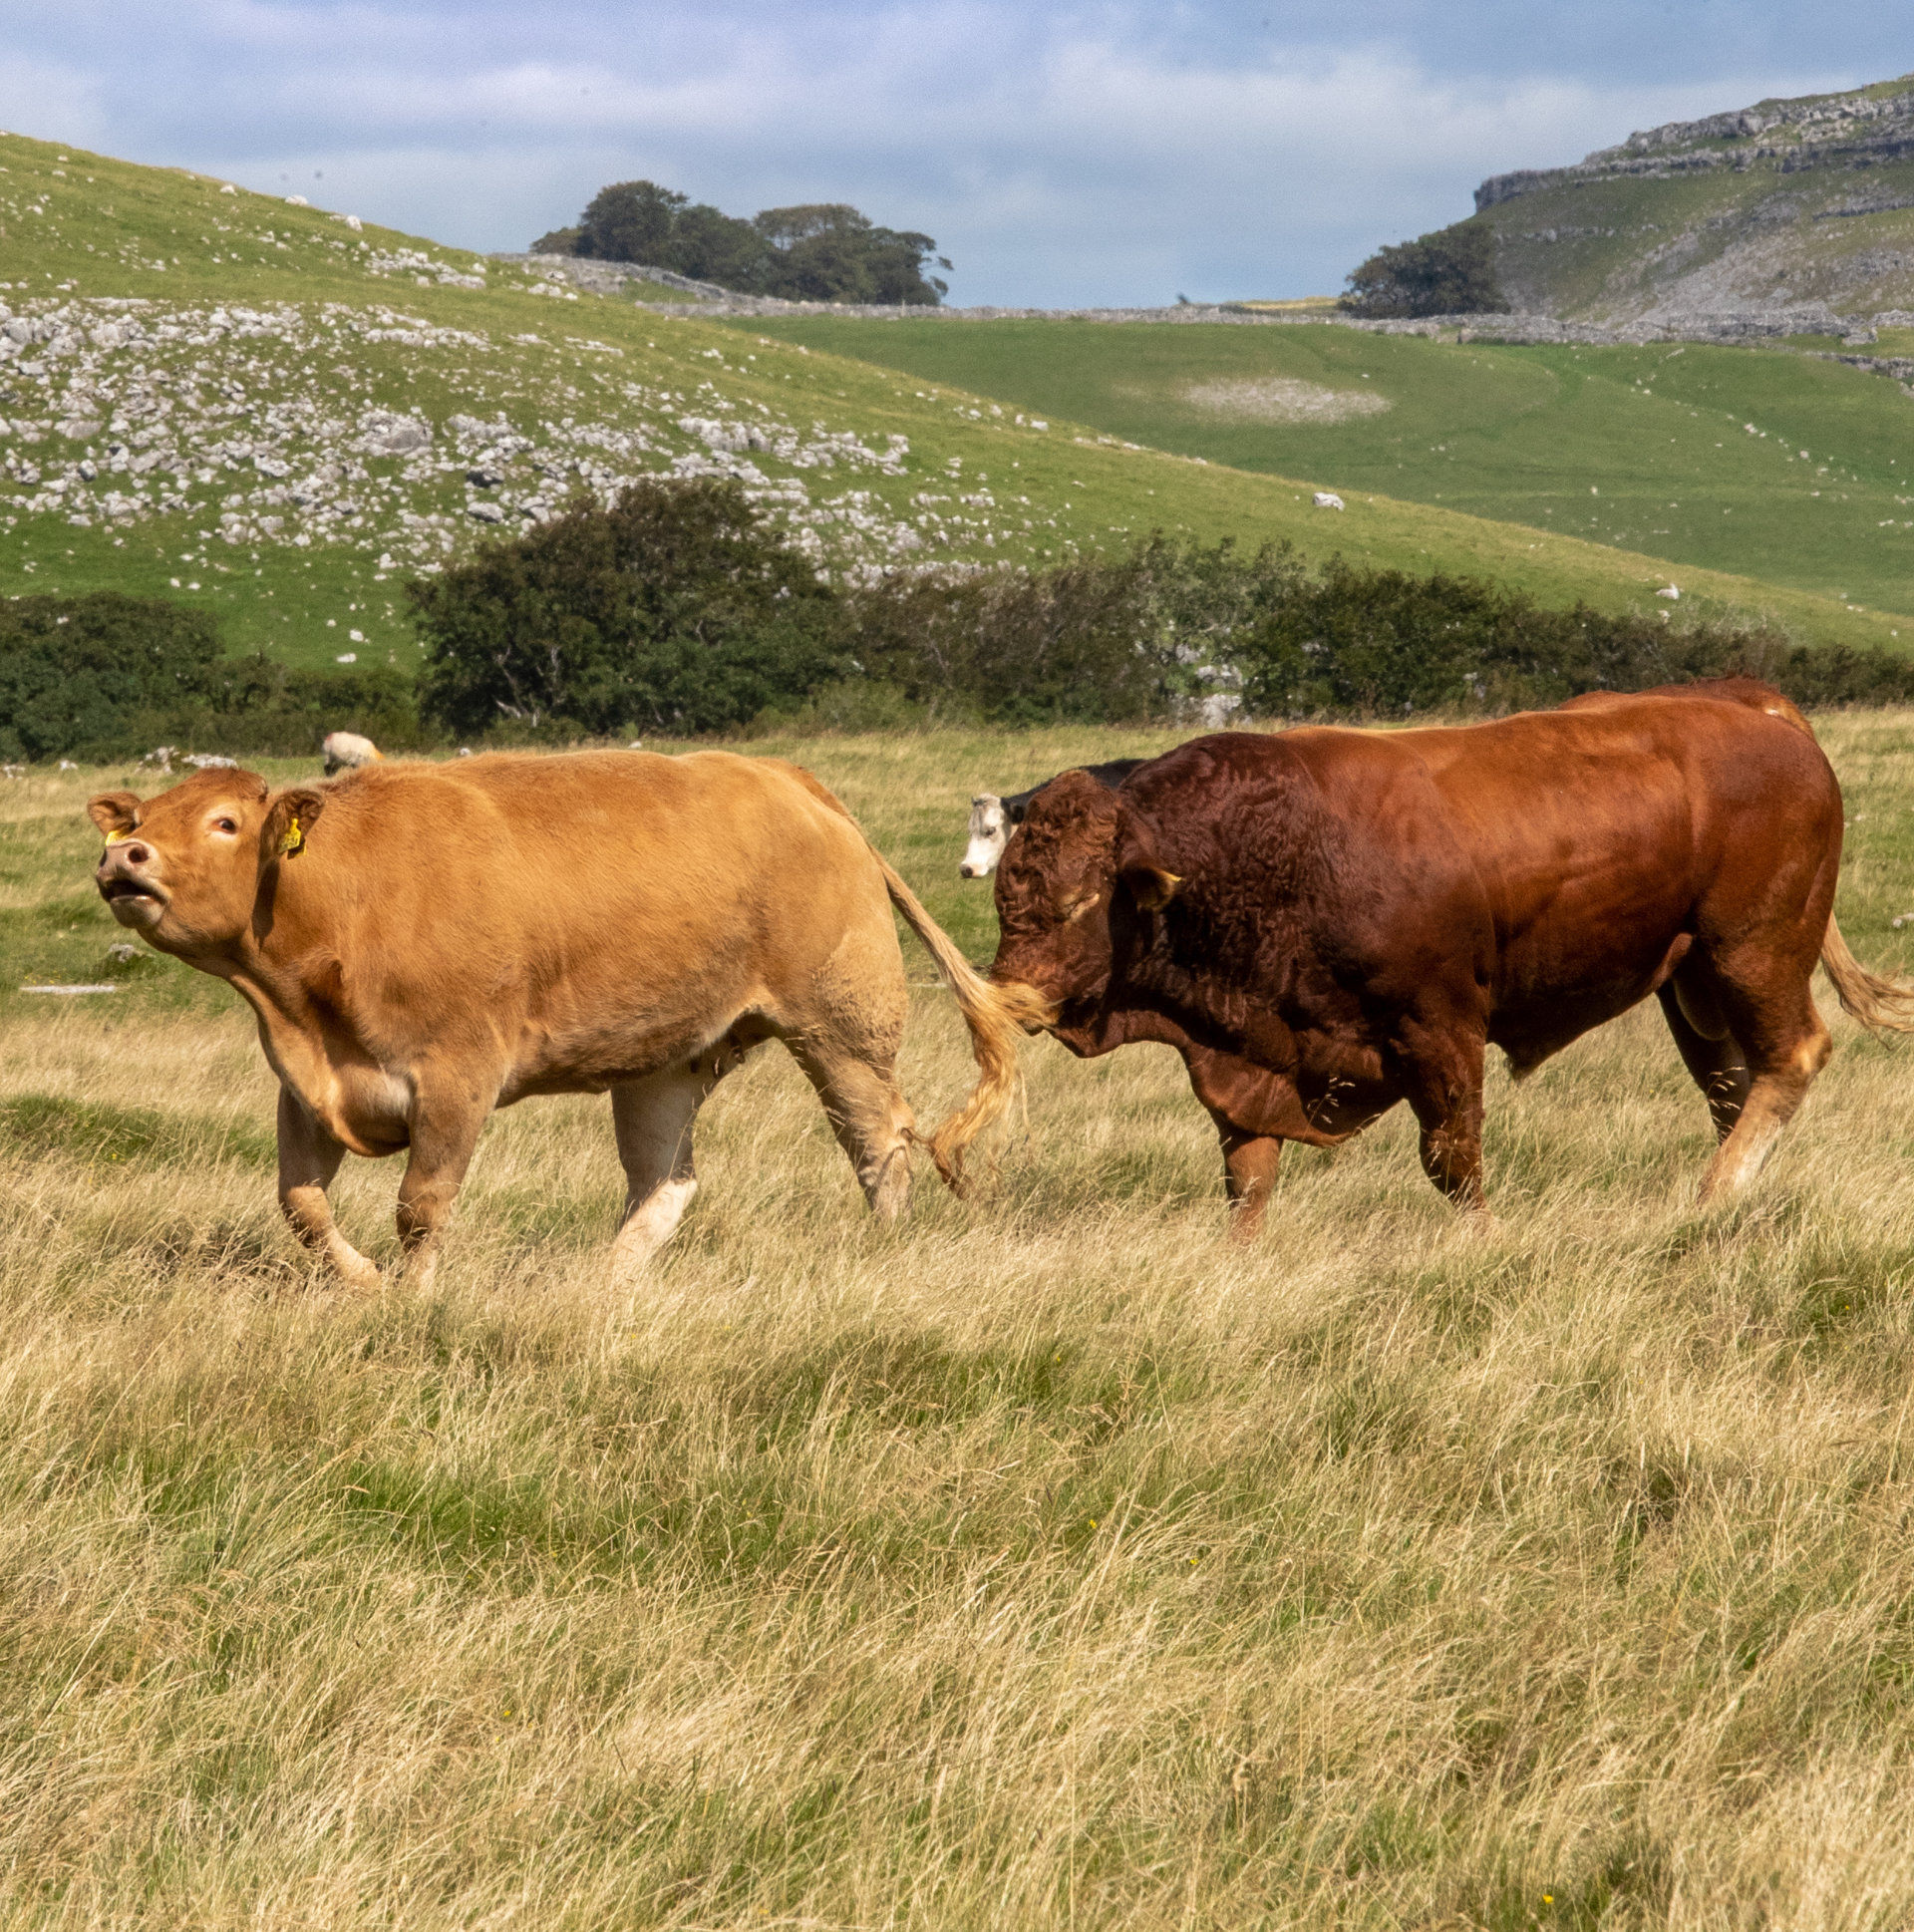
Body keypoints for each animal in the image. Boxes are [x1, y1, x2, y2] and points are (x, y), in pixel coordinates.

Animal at [90, 746, 1027, 1290]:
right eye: (144, 820)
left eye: (224, 823)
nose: (123, 857)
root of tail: (789, 779)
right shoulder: (308, 1085)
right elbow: (301, 1206)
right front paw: (364, 1285)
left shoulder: (456, 1079)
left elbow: (420, 1208)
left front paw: (413, 1303)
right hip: (667, 1061)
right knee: (665, 1180)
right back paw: (600, 1287)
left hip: (841, 1030)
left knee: (879, 1143)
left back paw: (885, 1248)